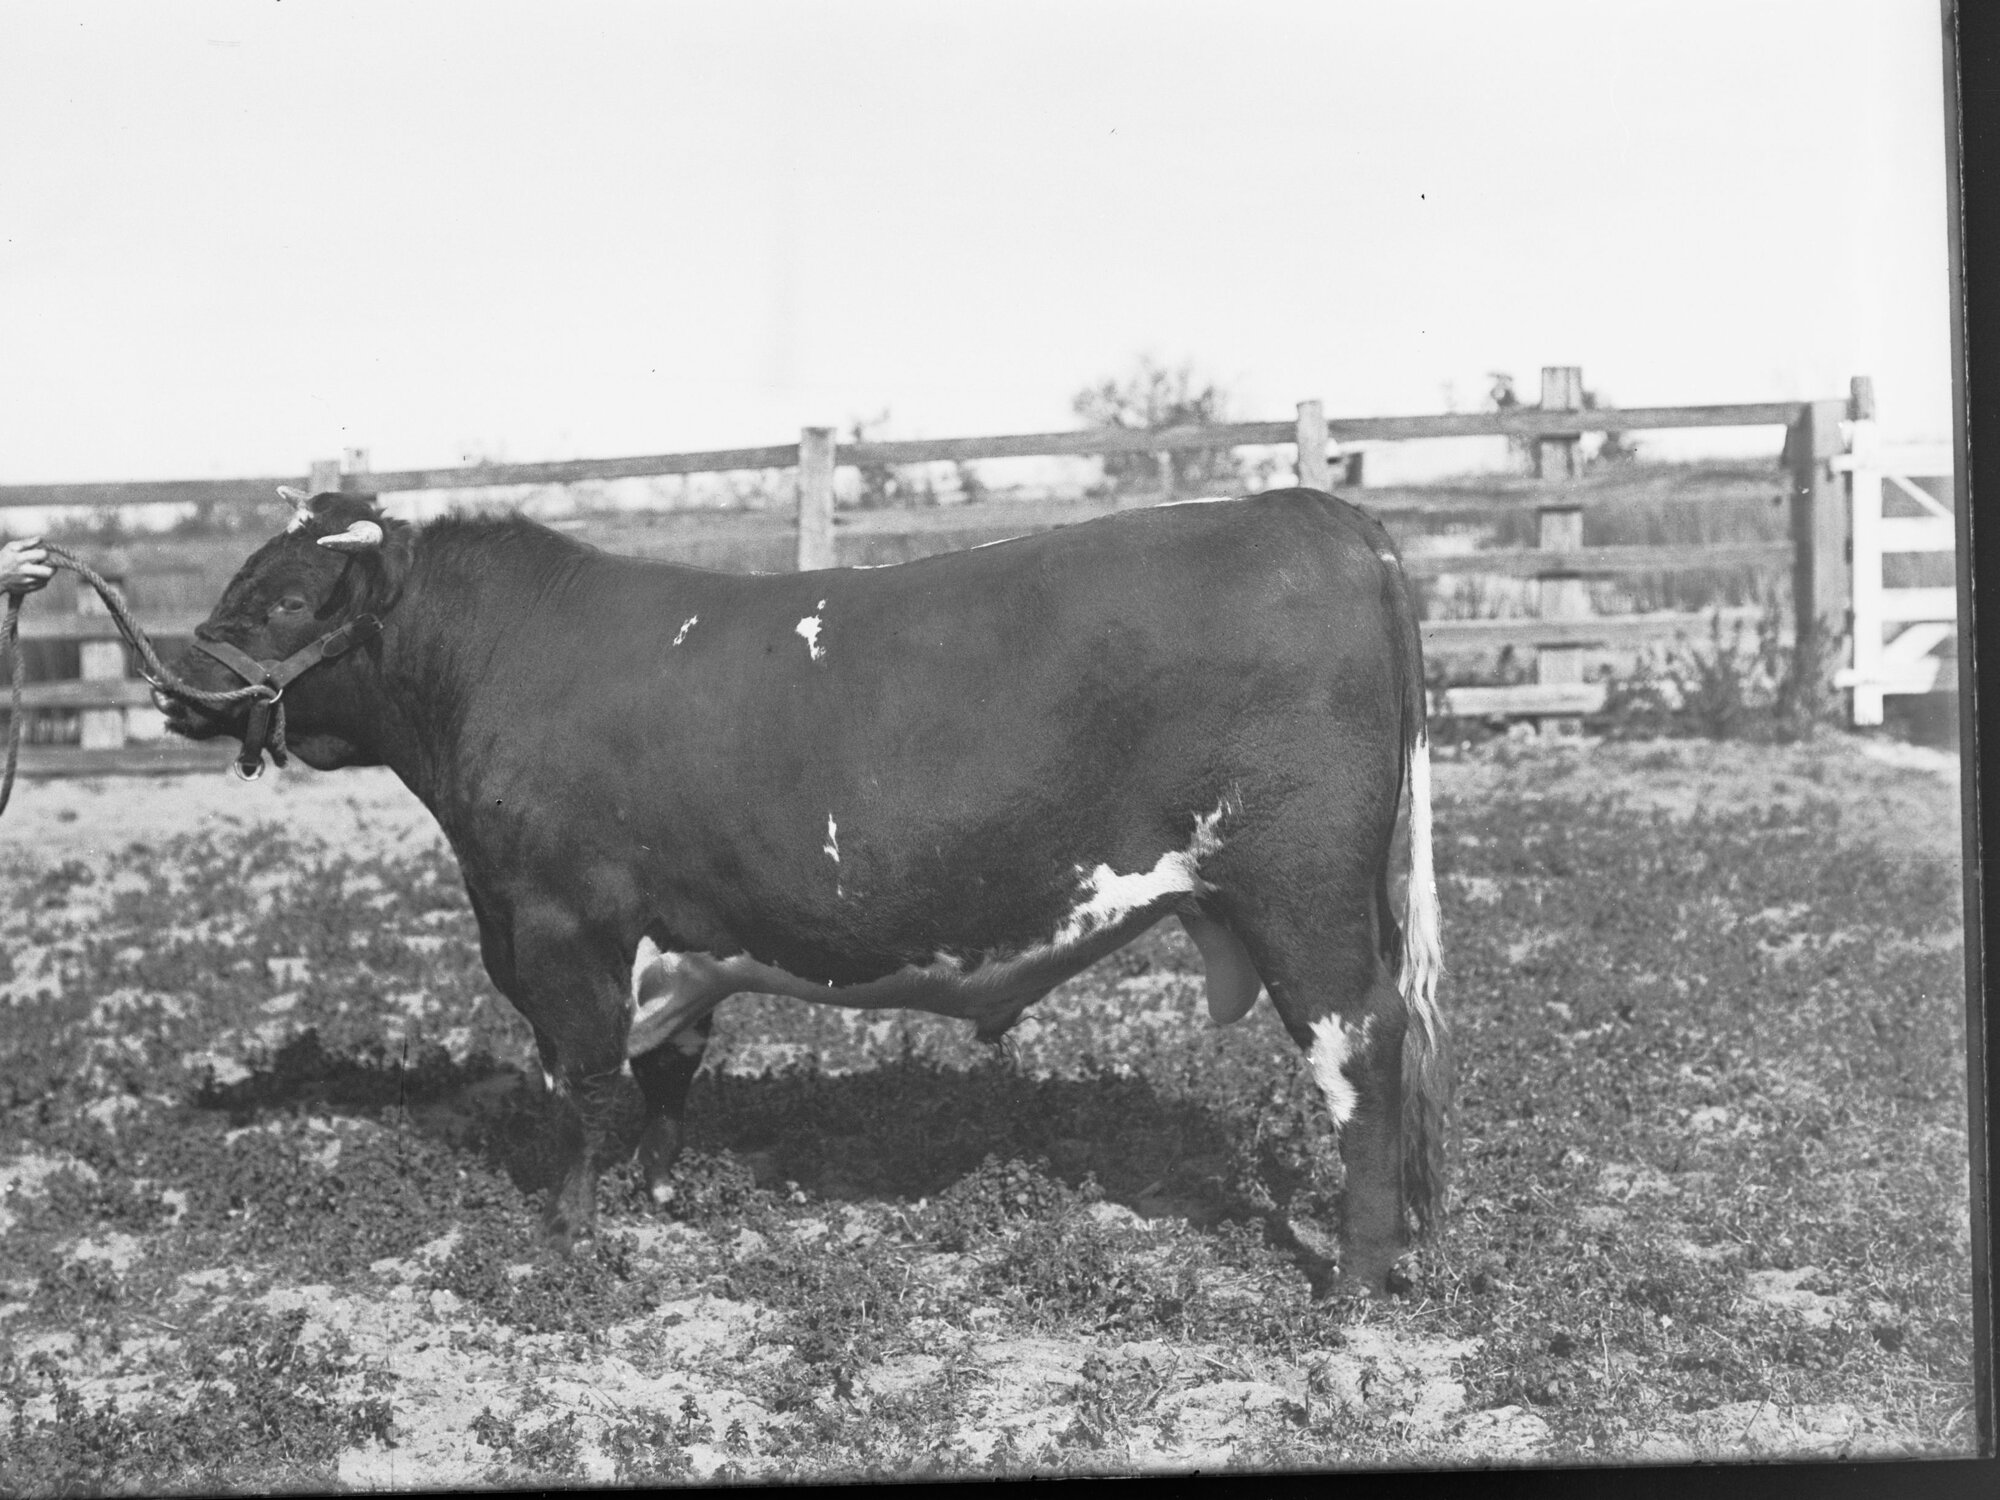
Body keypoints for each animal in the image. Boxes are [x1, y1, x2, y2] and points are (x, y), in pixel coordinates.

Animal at [158, 484, 1448, 1295]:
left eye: (287, 602)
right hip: (1341, 903)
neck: (498, 663)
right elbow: (665, 1072)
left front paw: (567, 1235)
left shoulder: (558, 925)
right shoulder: (675, 935)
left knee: (1357, 1053)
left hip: (1300, 898)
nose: (172, 683)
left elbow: (577, 1080)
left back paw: (1352, 1276)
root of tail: (1314, 514)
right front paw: (657, 1194)